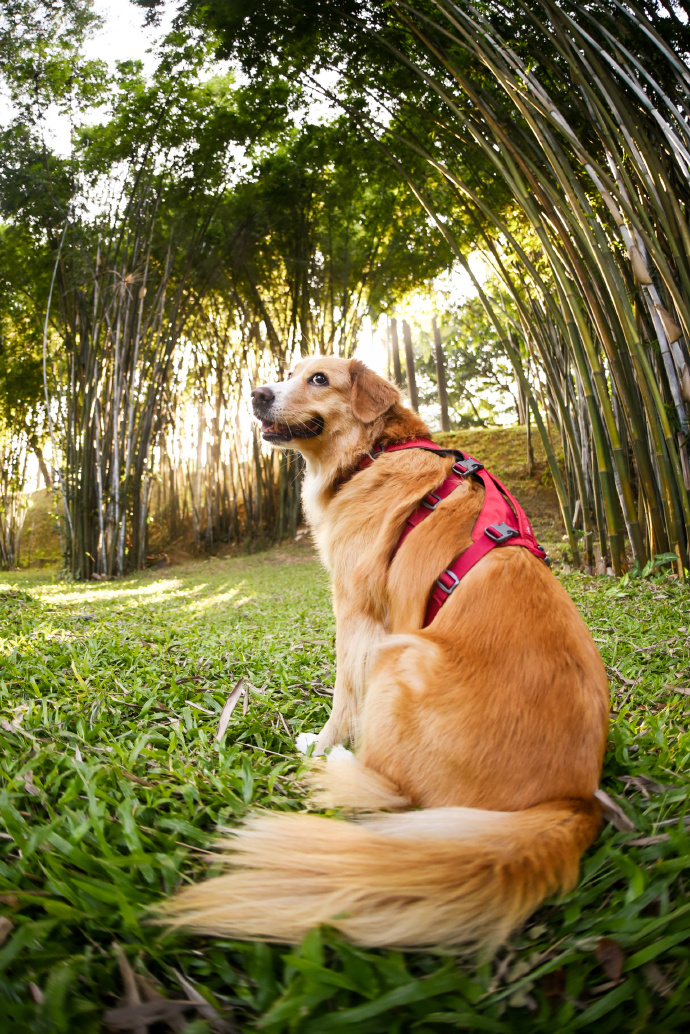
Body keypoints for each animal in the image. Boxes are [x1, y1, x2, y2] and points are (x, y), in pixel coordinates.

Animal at [165, 357, 608, 951]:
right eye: (290, 371)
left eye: (320, 379)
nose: (256, 394)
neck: (372, 453)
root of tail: (575, 802)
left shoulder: (356, 614)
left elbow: (342, 697)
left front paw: (322, 743)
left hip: (400, 654)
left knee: (389, 785)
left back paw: (339, 763)